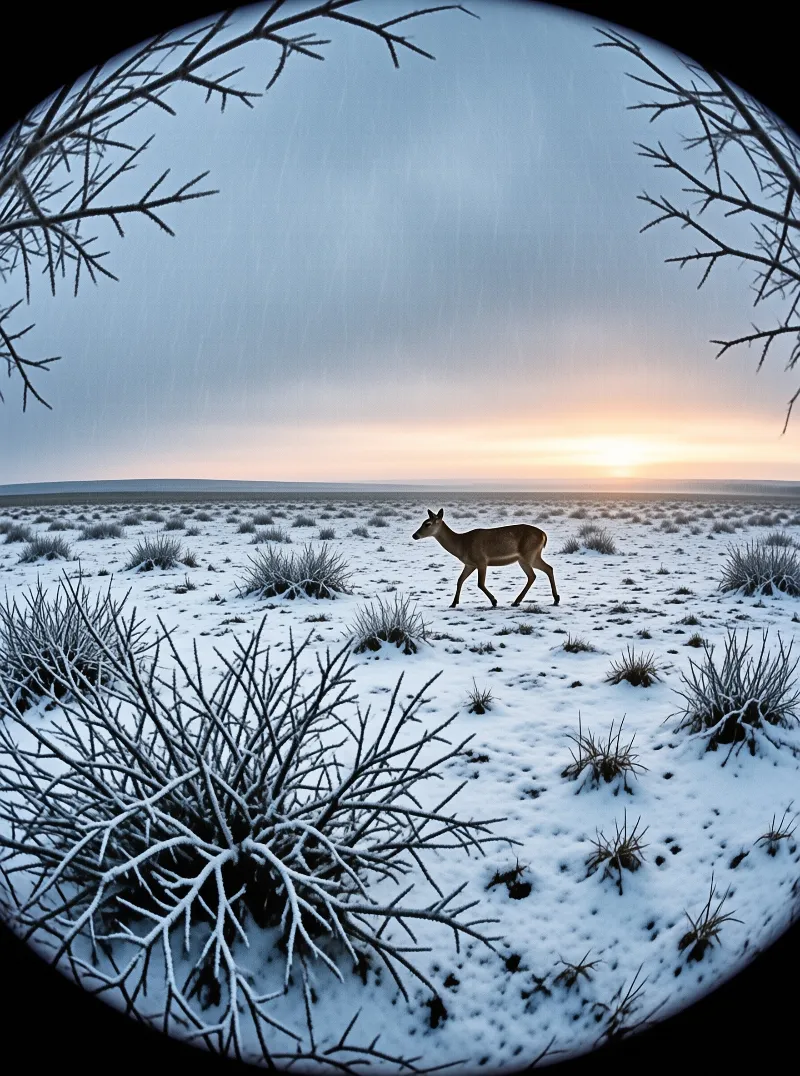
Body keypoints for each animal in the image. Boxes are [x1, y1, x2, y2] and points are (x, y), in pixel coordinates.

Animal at [412, 508, 560, 609]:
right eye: (423, 522)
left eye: (427, 523)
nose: (414, 535)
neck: (462, 544)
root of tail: (544, 535)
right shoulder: (470, 564)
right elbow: (460, 580)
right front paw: (453, 603)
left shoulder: (481, 561)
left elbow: (480, 583)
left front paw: (494, 601)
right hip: (532, 556)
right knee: (547, 569)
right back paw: (555, 599)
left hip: (527, 555)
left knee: (534, 575)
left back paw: (517, 601)